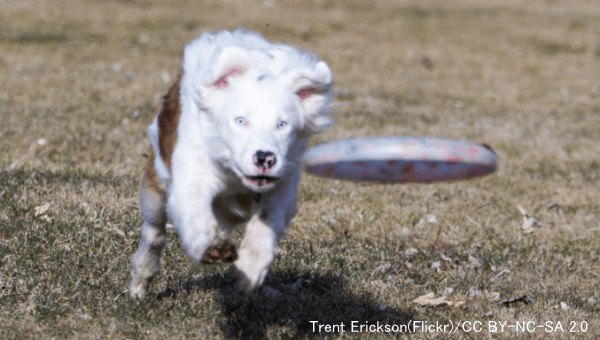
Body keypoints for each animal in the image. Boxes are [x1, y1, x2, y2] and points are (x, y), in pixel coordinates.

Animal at [130, 30, 332, 298]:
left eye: (282, 124)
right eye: (240, 120)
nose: (265, 158)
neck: (233, 174)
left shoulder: (283, 186)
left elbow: (264, 227)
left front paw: (248, 272)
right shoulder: (192, 176)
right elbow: (196, 213)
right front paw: (212, 247)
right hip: (155, 188)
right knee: (154, 233)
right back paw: (140, 281)